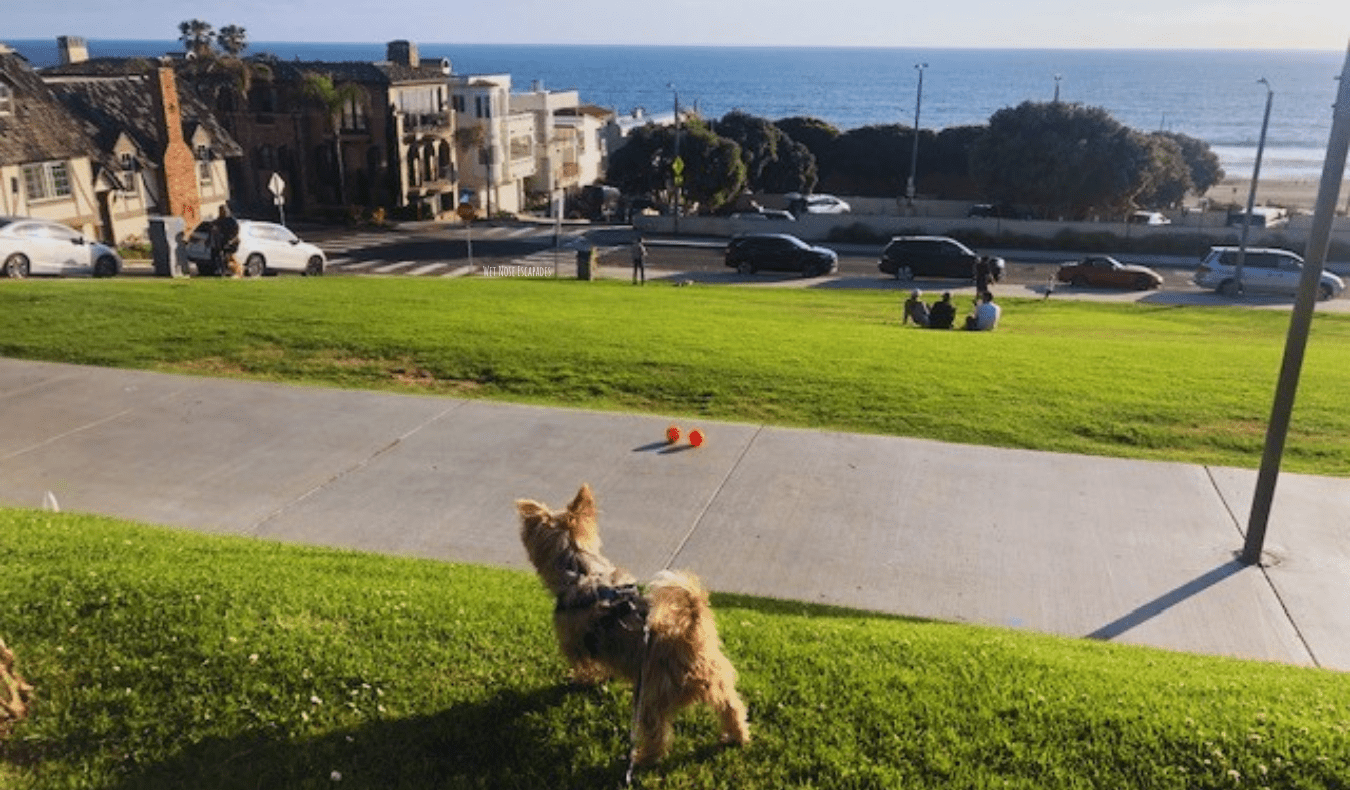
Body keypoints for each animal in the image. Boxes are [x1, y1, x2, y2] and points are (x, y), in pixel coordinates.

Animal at [515, 480, 750, 761]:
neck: (581, 569)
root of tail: (689, 638)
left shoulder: (577, 645)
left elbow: (586, 667)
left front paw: (582, 680)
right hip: (718, 681)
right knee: (732, 708)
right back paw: (737, 737)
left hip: (649, 695)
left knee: (657, 733)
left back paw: (643, 757)